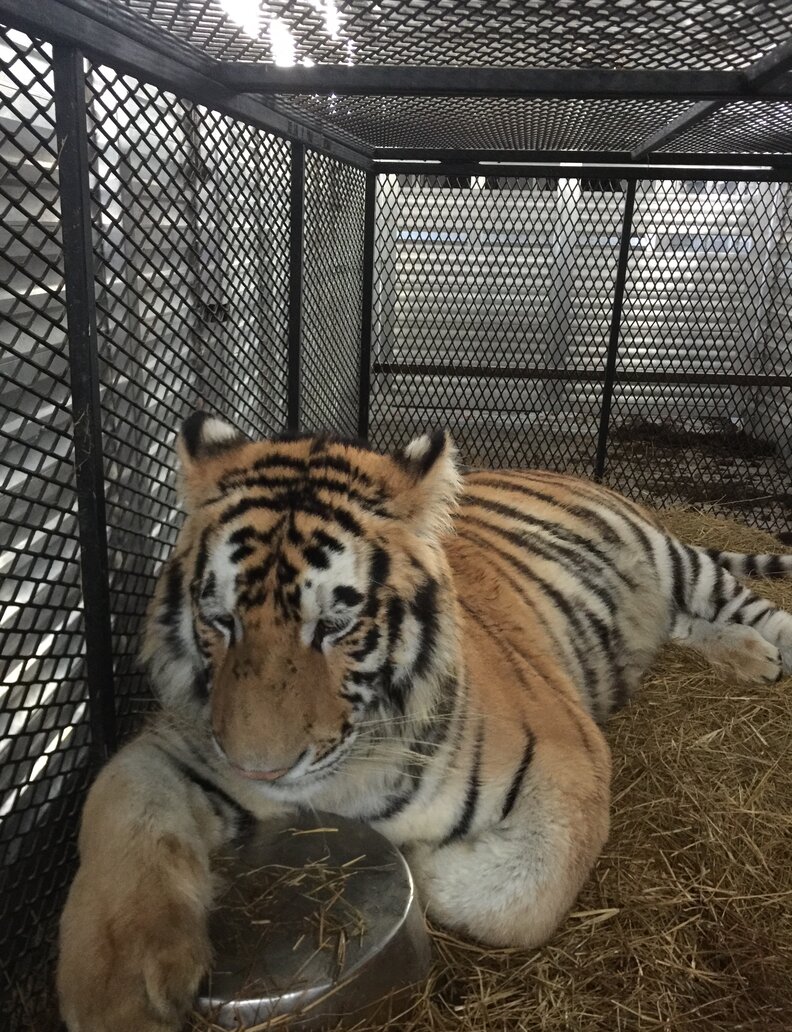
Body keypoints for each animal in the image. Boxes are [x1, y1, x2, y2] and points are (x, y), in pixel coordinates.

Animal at [57, 412, 792, 1032]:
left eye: (334, 625)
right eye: (220, 621)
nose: (259, 769)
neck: (348, 766)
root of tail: (575, 473)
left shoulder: (570, 758)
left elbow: (523, 894)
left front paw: (420, 861)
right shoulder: (179, 746)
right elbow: (120, 810)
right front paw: (123, 993)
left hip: (675, 561)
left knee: (747, 606)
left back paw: (767, 647)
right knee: (678, 623)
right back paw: (746, 656)